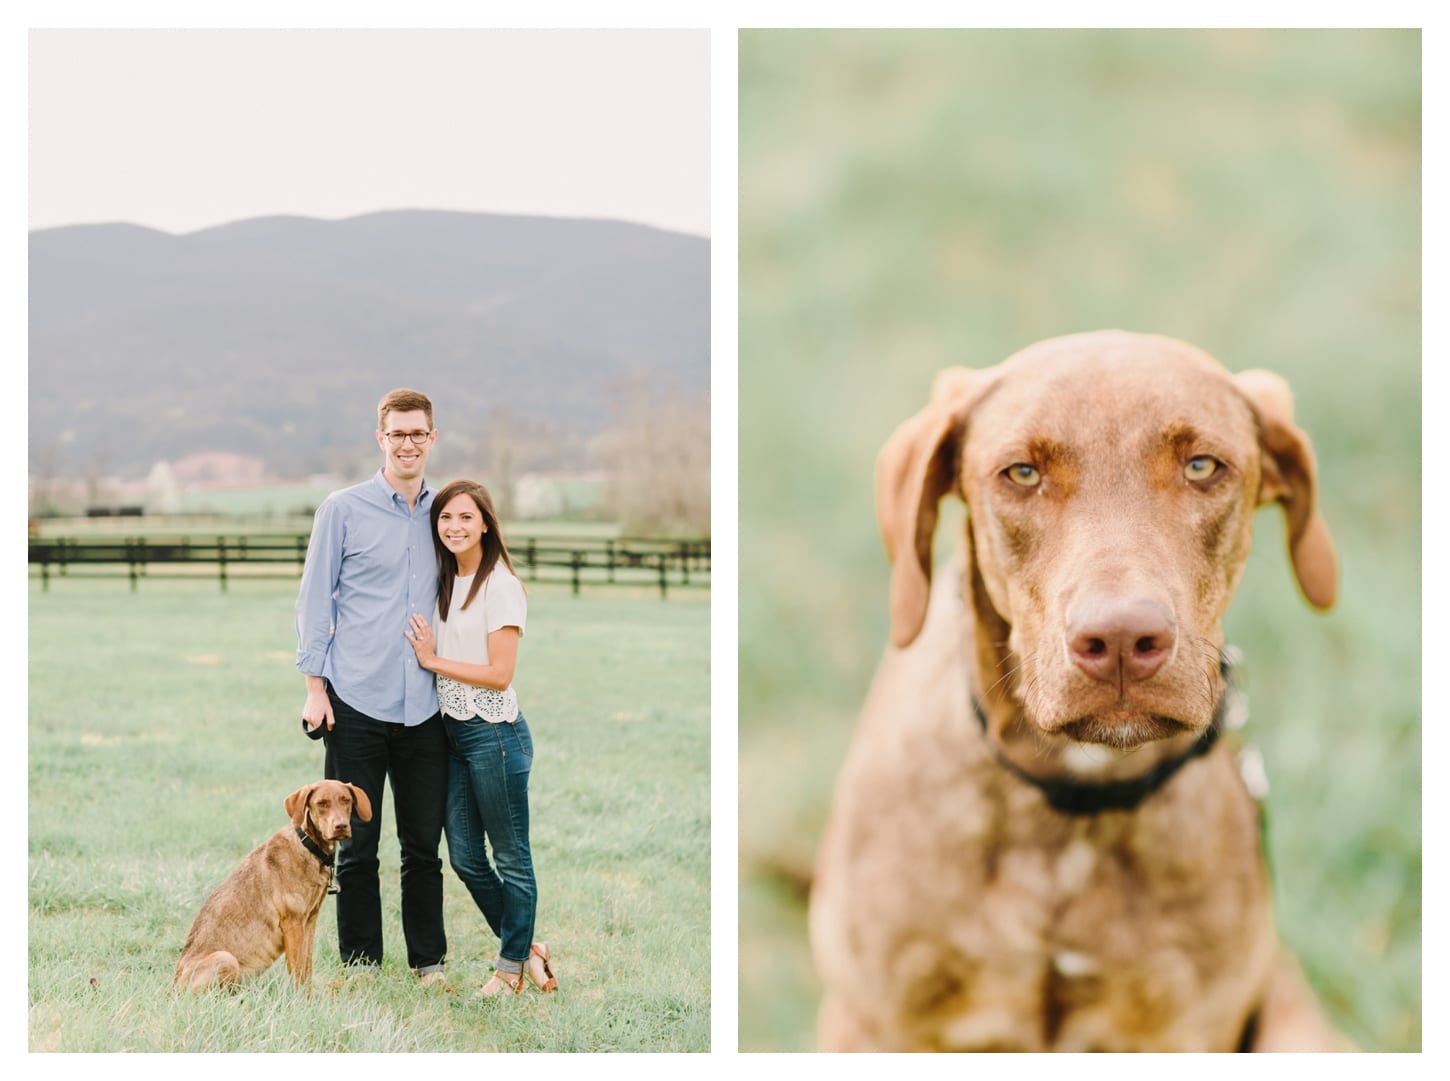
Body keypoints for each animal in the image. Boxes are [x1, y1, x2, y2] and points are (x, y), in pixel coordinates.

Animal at [174, 776, 371, 991]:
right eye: (322, 803)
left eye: (346, 800)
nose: (341, 826)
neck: (308, 846)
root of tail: (173, 986)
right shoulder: (292, 922)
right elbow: (298, 971)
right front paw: (300, 997)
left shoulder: (310, 920)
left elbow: (306, 969)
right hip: (225, 958)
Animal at [812, 333, 1351, 1049]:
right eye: (1021, 473)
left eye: (1202, 466)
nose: (1120, 639)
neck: (1072, 807)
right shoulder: (872, 1020)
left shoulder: (1187, 1028)